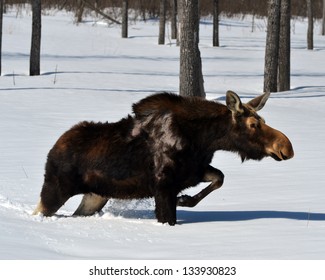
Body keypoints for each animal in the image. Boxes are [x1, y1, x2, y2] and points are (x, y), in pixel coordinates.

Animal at [33, 91, 294, 225]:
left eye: (263, 121)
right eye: (252, 124)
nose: (286, 147)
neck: (203, 140)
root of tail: (54, 147)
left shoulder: (193, 171)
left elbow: (219, 177)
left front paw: (186, 200)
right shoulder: (163, 185)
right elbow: (168, 217)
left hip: (96, 196)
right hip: (56, 188)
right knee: (39, 210)